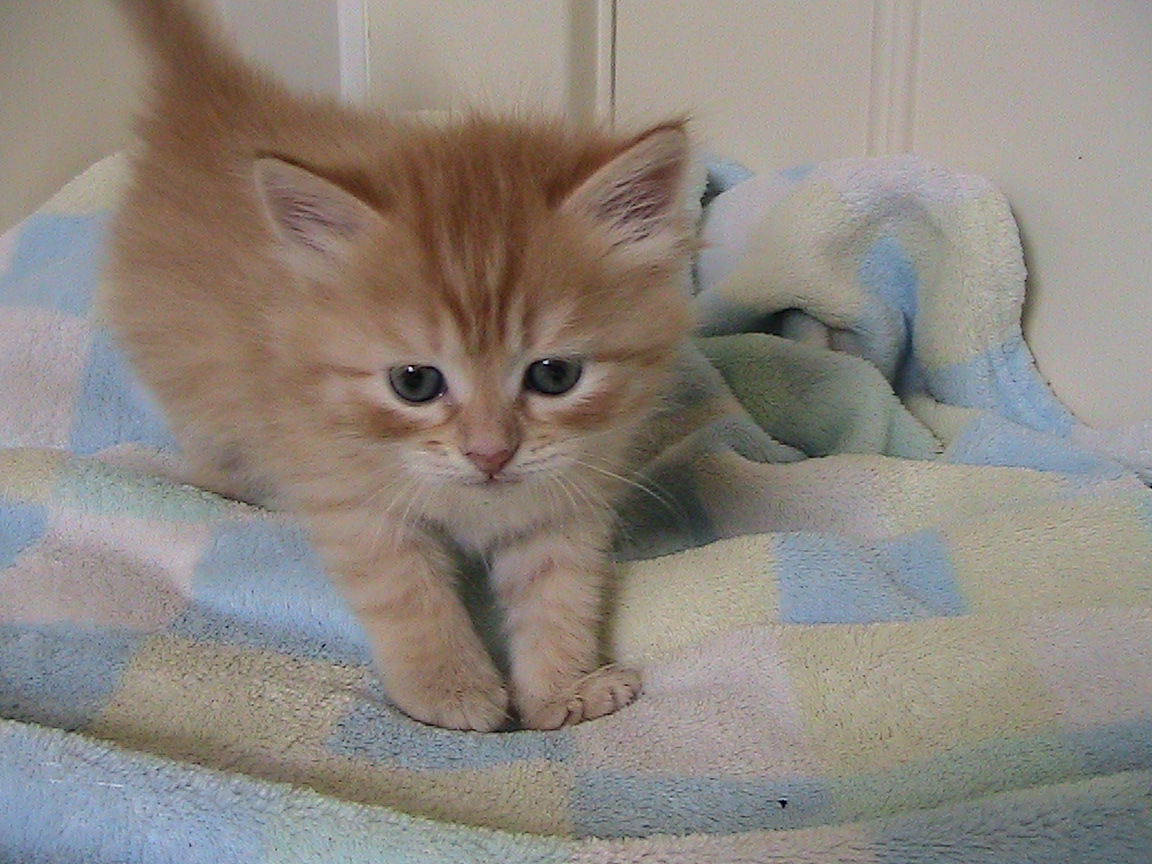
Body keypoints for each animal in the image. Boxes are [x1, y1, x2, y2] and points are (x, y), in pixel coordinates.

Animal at [104, 0, 696, 731]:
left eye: (554, 376)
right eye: (415, 383)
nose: (490, 455)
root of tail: (213, 95)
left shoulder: (567, 494)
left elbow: (560, 591)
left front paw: (562, 690)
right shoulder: (343, 490)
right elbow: (405, 592)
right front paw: (449, 688)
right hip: (192, 389)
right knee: (209, 446)